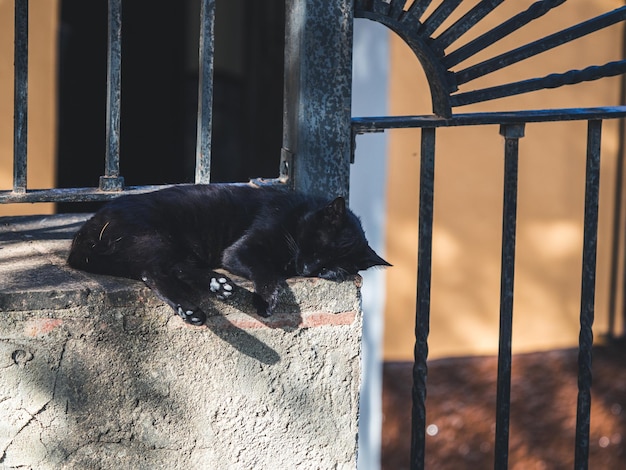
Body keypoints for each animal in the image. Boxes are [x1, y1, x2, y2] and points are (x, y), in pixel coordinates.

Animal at [69, 182, 390, 324]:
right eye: (317, 247)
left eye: (328, 268)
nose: (308, 270)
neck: (296, 215)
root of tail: (86, 233)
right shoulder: (241, 251)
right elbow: (268, 274)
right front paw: (265, 303)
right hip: (155, 237)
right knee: (157, 270)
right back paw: (211, 293)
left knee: (163, 270)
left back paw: (204, 298)